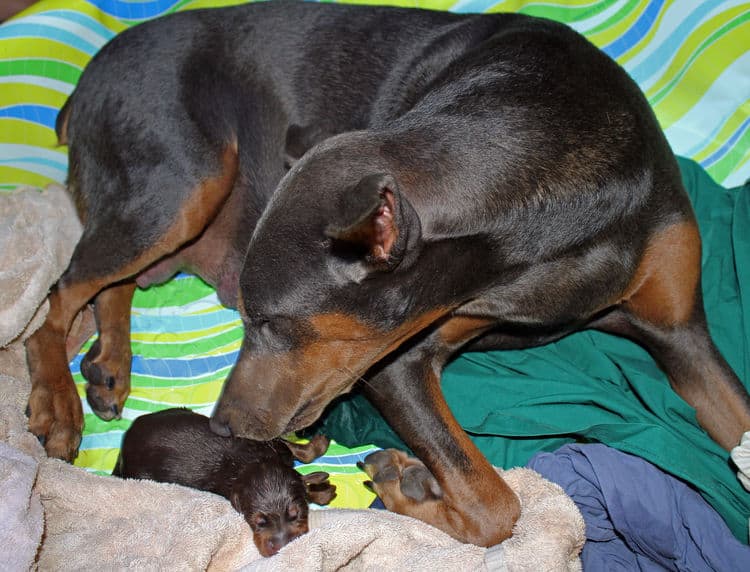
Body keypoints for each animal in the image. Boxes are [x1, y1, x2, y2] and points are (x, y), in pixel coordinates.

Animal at [113, 408, 336, 556]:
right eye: (258, 522)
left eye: (295, 514)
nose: (283, 547)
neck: (253, 462)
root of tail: (124, 445)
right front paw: (322, 490)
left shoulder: (270, 444)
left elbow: (292, 449)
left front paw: (318, 454)